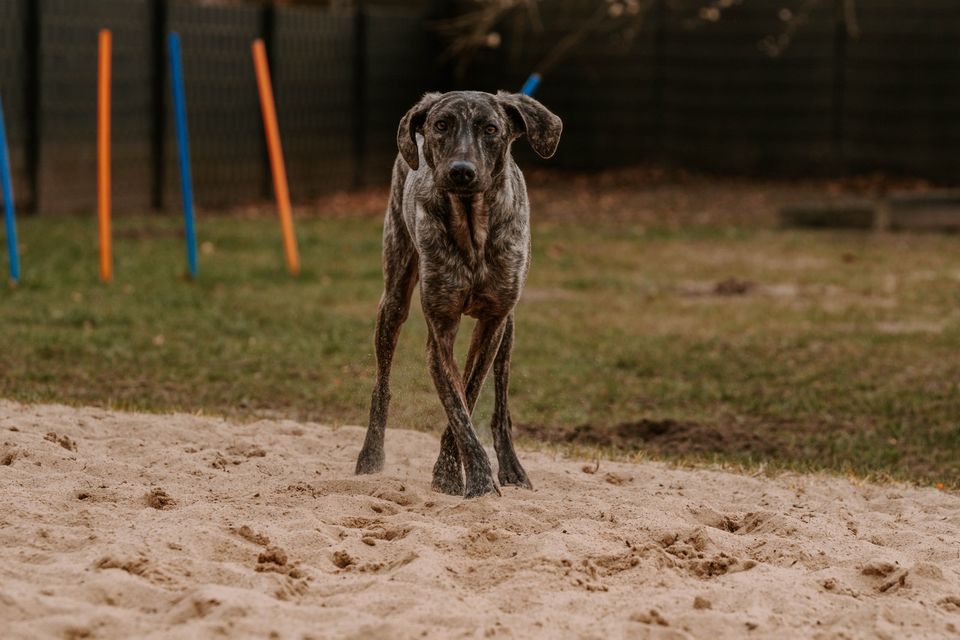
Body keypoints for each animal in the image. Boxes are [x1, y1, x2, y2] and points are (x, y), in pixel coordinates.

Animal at [352, 91, 564, 500]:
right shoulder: (440, 331)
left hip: (508, 332)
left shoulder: (492, 324)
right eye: (441, 125)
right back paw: (370, 458)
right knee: (381, 387)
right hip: (393, 299)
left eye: (491, 128)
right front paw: (473, 482)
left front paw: (451, 475)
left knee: (500, 408)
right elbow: (458, 408)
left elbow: (468, 394)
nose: (461, 171)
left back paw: (512, 468)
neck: (471, 226)